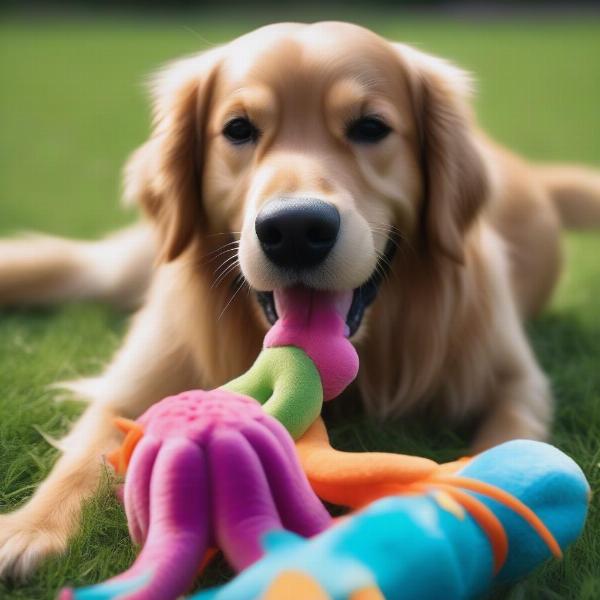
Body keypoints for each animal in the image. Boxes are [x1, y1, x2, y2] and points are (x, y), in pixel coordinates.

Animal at [1, 21, 600, 580]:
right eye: (238, 129)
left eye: (371, 128)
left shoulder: (514, 379)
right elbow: (88, 449)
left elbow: (509, 444)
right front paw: (30, 530)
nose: (294, 229)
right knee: (69, 265)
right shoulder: (143, 375)